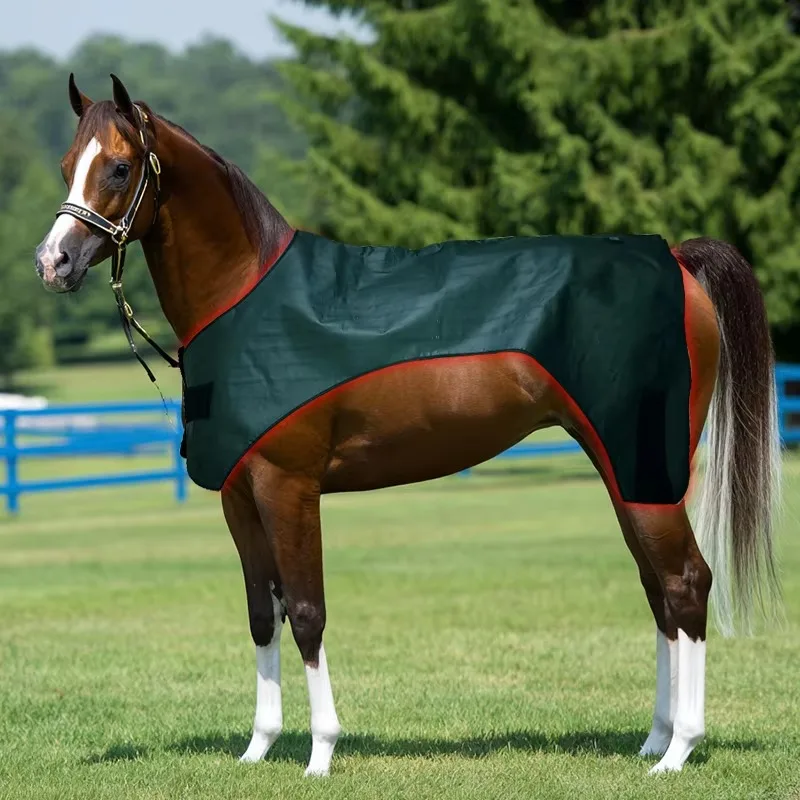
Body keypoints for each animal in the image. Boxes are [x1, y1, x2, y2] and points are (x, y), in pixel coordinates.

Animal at [35, 74, 781, 777]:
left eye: (120, 168)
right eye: (68, 163)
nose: (53, 263)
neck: (248, 297)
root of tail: (675, 259)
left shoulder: (289, 488)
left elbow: (307, 612)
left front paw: (321, 753)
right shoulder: (241, 499)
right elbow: (261, 615)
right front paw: (258, 748)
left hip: (644, 468)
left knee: (685, 583)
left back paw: (679, 750)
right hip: (623, 468)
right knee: (658, 591)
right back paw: (653, 739)